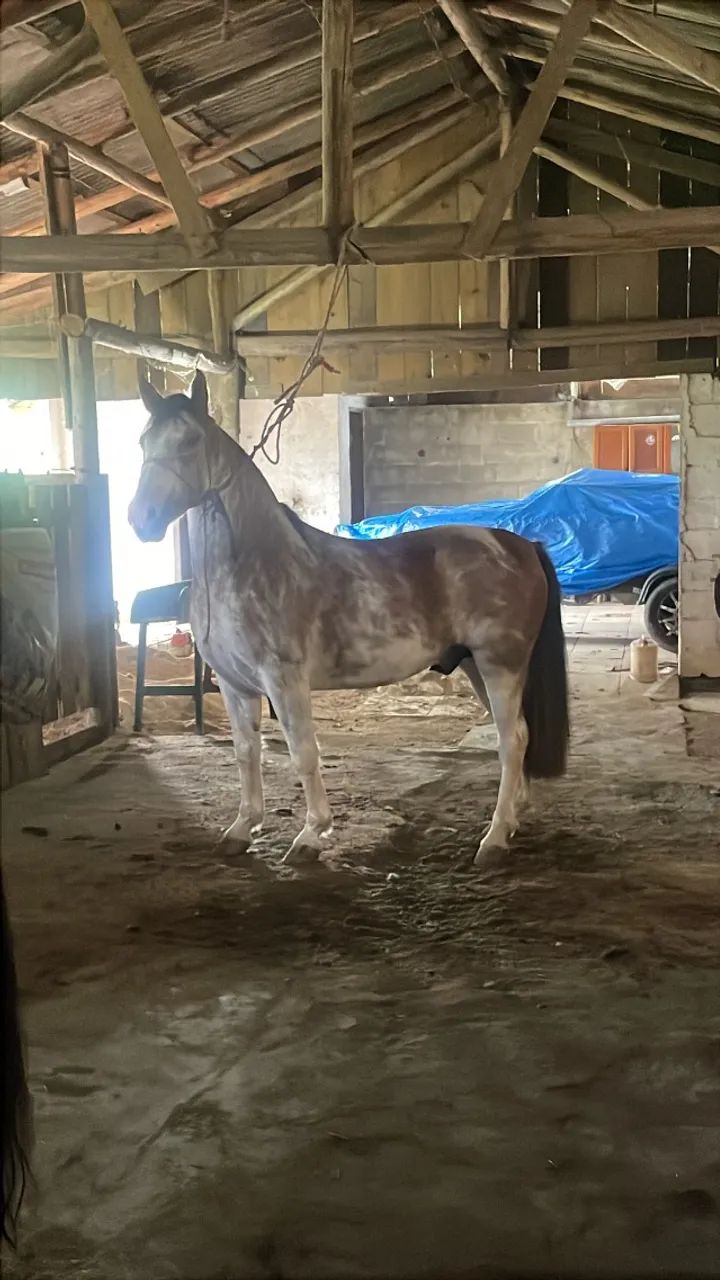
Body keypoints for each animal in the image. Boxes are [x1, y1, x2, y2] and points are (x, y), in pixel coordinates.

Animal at [128, 373, 568, 869]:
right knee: (516, 737)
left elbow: (303, 753)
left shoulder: (284, 681)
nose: (141, 519)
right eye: (144, 441)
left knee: (512, 740)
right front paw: (242, 828)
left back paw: (492, 840)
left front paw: (311, 835)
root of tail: (522, 545)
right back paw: (511, 821)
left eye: (190, 441)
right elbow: (246, 753)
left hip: (500, 664)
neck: (250, 565)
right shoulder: (233, 684)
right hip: (477, 666)